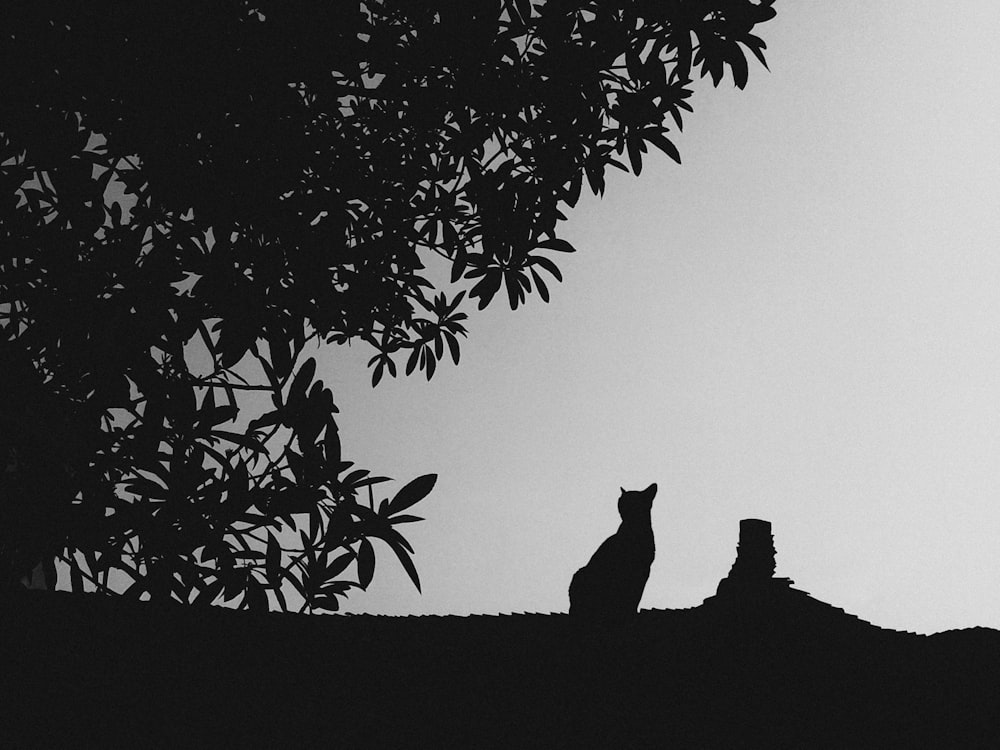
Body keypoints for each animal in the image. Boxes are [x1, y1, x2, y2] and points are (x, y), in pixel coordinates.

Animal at [572, 484, 656, 620]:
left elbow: (636, 595)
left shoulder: (644, 570)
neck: (635, 528)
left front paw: (631, 611)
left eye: (634, 501)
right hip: (580, 574)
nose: (623, 508)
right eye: (621, 501)